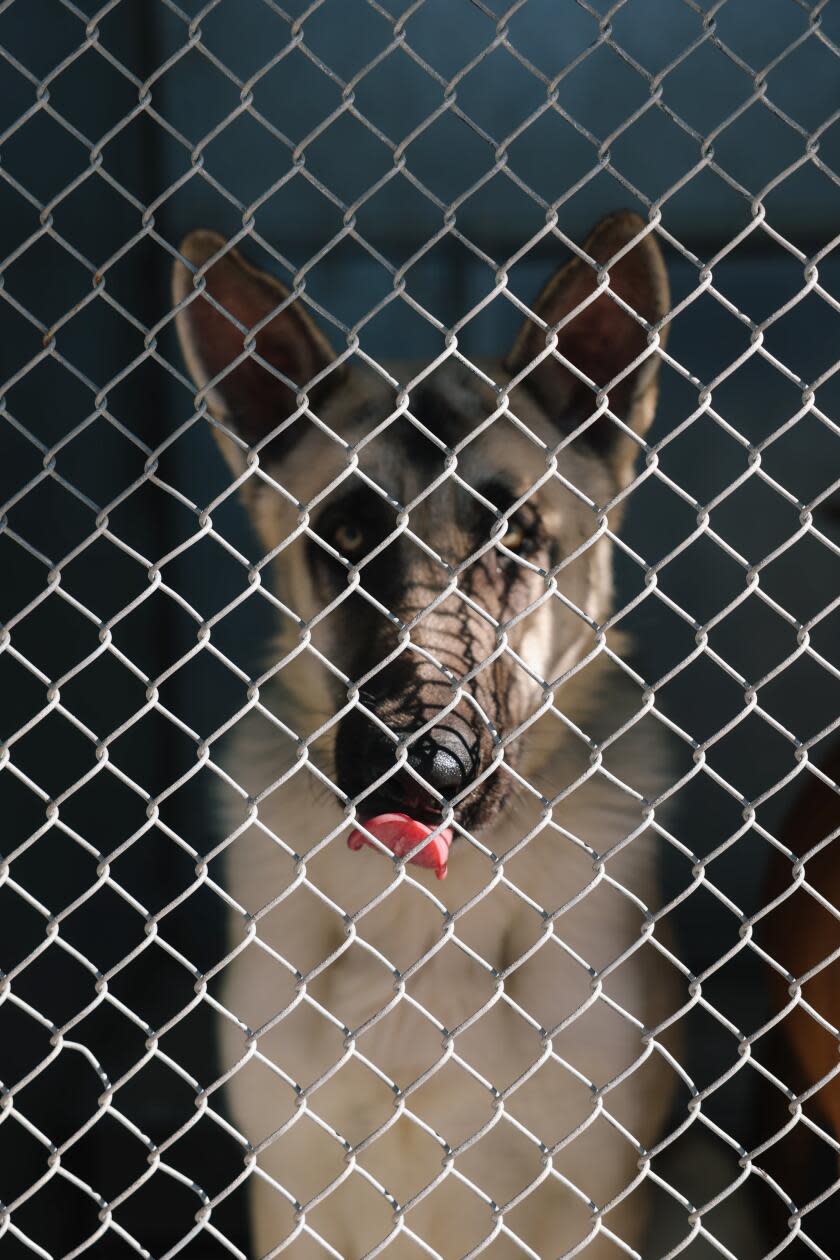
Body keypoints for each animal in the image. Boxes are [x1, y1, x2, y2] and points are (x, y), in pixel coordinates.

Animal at [173, 211, 680, 1254]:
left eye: (516, 536)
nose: (421, 764)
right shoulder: (292, 1189)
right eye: (347, 536)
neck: (423, 923)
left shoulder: (592, 1197)